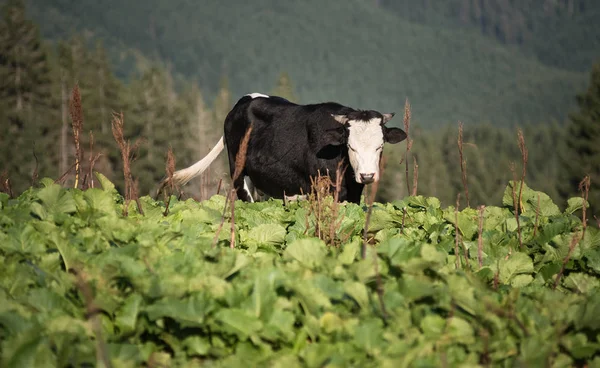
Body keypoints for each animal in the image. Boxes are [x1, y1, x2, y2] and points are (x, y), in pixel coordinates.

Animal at [168, 92, 408, 204]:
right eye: (351, 146)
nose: (367, 176)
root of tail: (244, 100)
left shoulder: (353, 195)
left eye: (380, 146)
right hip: (238, 175)